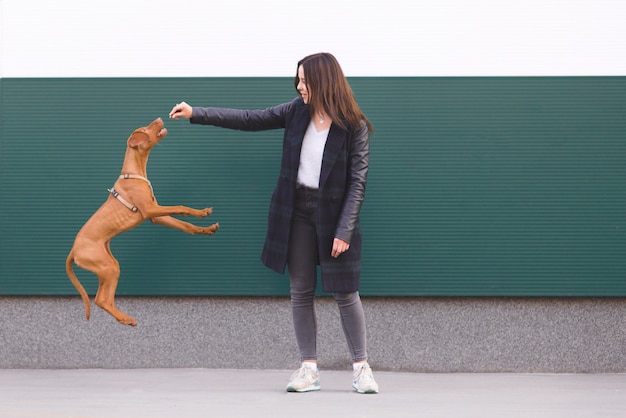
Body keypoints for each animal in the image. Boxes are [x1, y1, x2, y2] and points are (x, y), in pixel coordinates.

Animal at [65, 117, 218, 326]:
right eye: (145, 129)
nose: (160, 118)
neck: (134, 173)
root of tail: (74, 251)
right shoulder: (149, 210)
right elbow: (181, 207)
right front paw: (201, 214)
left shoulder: (156, 215)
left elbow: (185, 225)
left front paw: (206, 225)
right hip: (107, 266)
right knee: (102, 299)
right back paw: (125, 319)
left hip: (108, 266)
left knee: (100, 298)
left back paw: (121, 317)